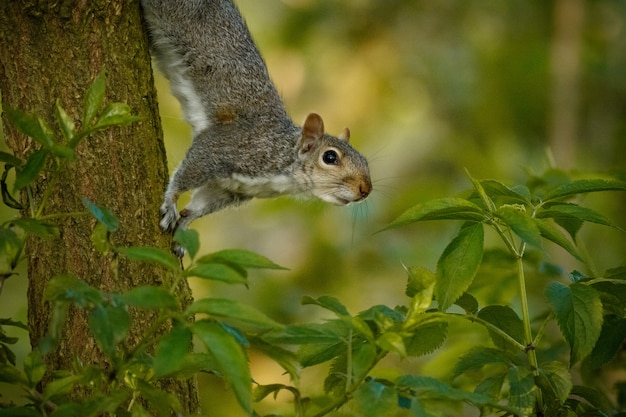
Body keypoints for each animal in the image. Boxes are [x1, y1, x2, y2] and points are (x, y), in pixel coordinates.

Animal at [140, 0, 370, 254]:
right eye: (330, 157)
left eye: (365, 161)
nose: (365, 189)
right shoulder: (226, 146)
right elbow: (190, 170)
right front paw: (171, 202)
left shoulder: (230, 190)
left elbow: (200, 205)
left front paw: (184, 224)